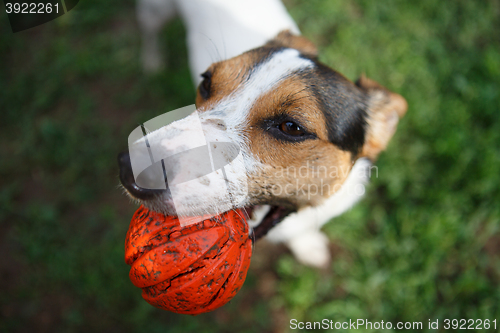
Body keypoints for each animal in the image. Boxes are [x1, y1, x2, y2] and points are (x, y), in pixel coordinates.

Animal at [120, 0, 406, 266]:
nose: (130, 167)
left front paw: (308, 246)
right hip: (155, 11)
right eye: (206, 82)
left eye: (291, 127)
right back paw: (152, 60)